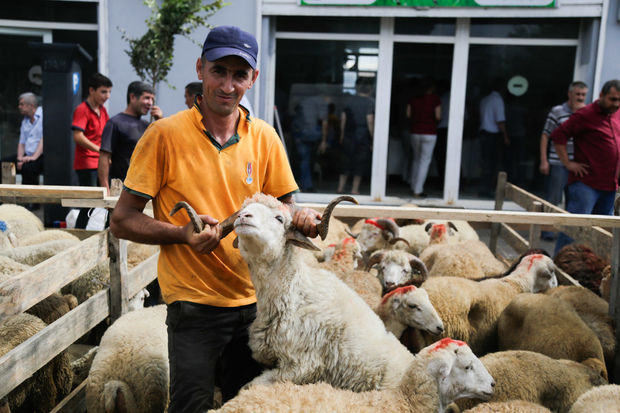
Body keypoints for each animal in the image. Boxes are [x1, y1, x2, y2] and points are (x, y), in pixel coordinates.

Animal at [230, 193, 414, 390]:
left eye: (279, 218)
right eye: (243, 209)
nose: (243, 216)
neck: (296, 295)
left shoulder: (302, 364)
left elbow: (252, 385)